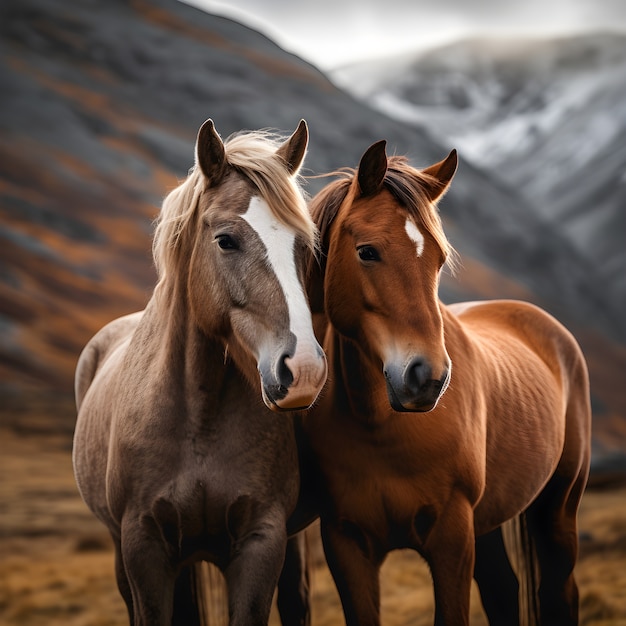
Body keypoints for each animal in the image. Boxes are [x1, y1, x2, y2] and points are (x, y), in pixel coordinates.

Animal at [72, 118, 326, 624]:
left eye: (304, 247)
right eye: (225, 240)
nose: (304, 369)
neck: (199, 415)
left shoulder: (262, 542)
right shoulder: (143, 547)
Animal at [302, 141, 588, 624]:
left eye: (438, 260)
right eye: (367, 251)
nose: (427, 378)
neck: (378, 427)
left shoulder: (451, 536)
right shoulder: (346, 544)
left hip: (557, 507)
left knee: (559, 594)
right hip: (489, 521)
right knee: (503, 591)